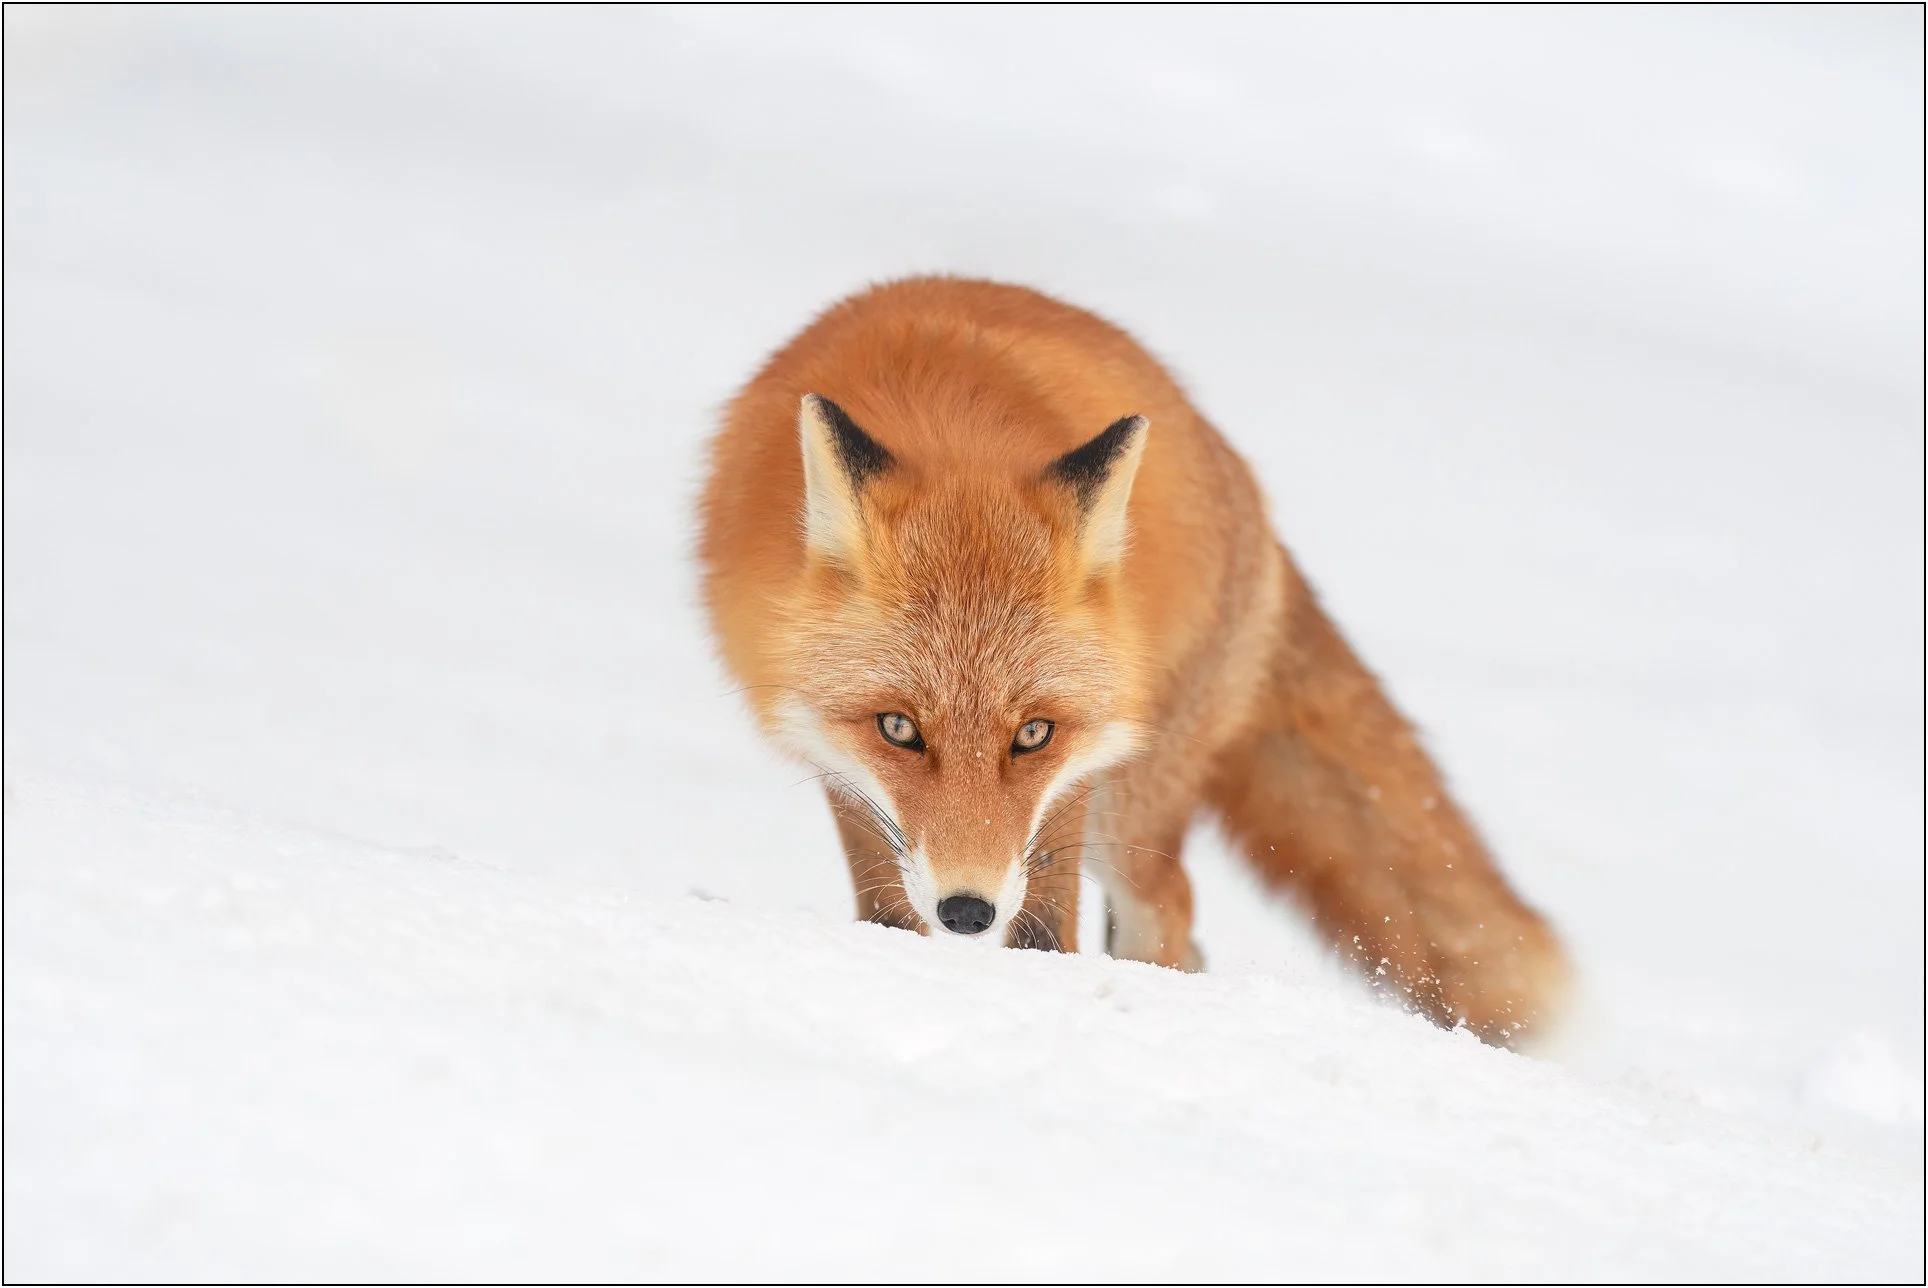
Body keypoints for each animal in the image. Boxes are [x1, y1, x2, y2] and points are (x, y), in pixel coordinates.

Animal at [698, 277, 1566, 1044]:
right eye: (898, 729)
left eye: (1034, 734)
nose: (968, 913)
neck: (949, 424)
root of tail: (1246, 491)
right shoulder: (842, 769)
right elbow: (885, 913)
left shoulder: (1073, 774)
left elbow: (1045, 932)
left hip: (1132, 808)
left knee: (1172, 909)